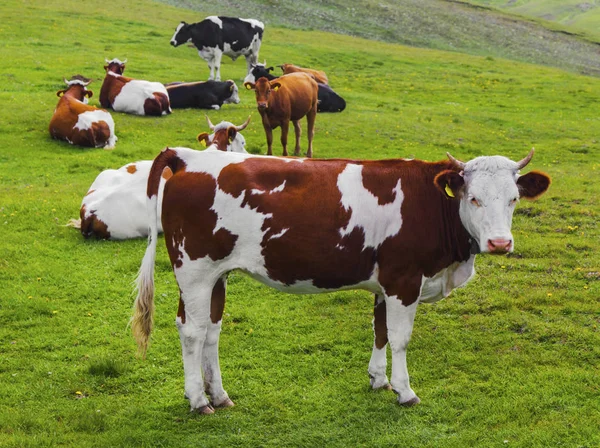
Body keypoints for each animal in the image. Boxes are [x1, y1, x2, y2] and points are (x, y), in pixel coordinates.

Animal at [132, 148, 552, 412]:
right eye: (473, 198)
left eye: (514, 199)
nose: (500, 243)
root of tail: (188, 157)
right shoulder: (404, 280)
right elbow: (400, 338)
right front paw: (405, 391)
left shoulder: (386, 282)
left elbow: (380, 331)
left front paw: (379, 380)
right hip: (195, 270)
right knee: (192, 332)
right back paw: (199, 401)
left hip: (217, 275)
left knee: (210, 332)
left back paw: (218, 395)